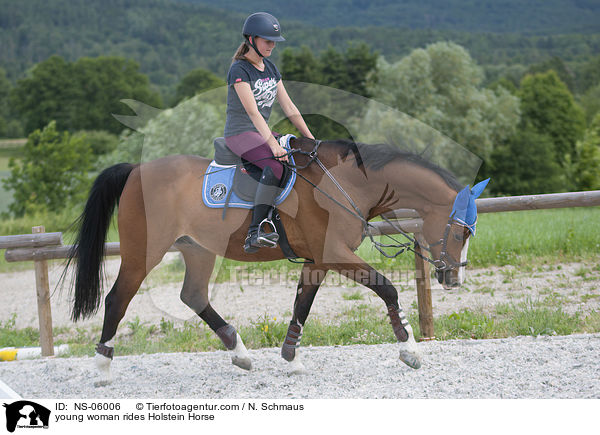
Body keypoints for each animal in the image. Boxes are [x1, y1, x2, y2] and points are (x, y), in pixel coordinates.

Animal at [64, 136, 482, 384]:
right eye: (462, 232)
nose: (454, 278)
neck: (347, 183)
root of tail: (136, 170)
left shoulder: (318, 260)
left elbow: (302, 305)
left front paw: (291, 357)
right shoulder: (335, 254)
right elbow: (387, 288)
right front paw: (409, 349)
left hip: (197, 249)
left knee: (193, 296)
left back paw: (240, 353)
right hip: (143, 252)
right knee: (117, 299)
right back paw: (102, 367)